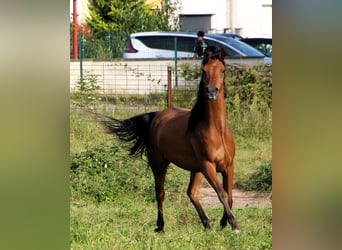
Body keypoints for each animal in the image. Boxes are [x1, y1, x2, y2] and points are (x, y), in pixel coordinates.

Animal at [97, 46, 239, 232]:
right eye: (204, 70)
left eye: (222, 70)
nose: (211, 91)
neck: (217, 131)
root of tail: (156, 116)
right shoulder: (208, 166)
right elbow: (221, 193)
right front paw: (233, 224)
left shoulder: (228, 166)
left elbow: (229, 195)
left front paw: (224, 223)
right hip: (160, 163)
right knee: (160, 193)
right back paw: (161, 226)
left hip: (195, 169)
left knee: (192, 192)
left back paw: (207, 224)